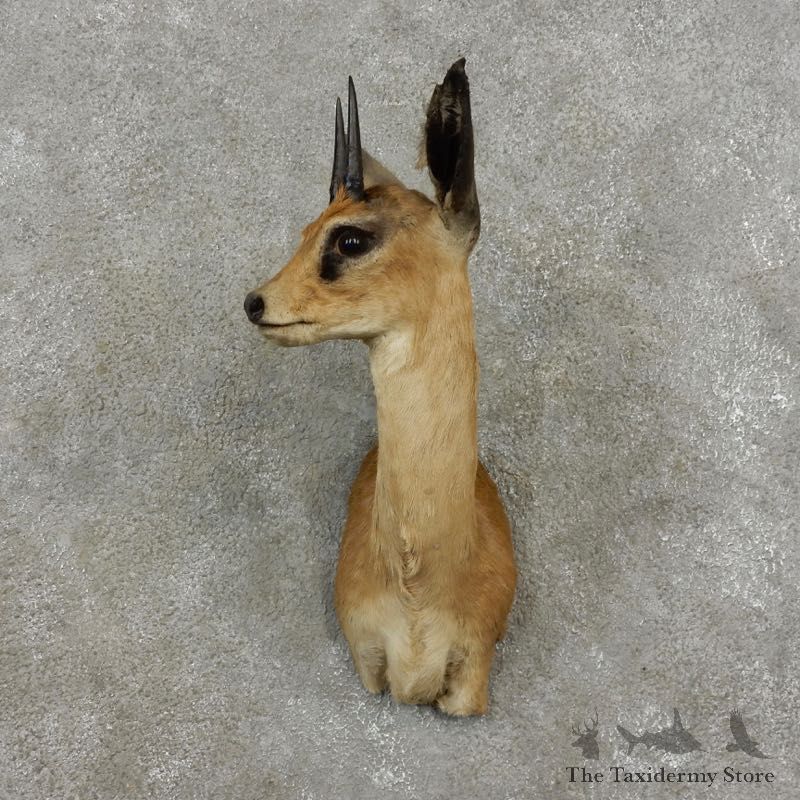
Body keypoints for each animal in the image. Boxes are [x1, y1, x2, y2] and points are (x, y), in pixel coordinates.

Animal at [244, 59, 516, 716]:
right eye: (306, 230)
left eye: (350, 238)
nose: (256, 302)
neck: (419, 587)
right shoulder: (368, 664)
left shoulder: (472, 681)